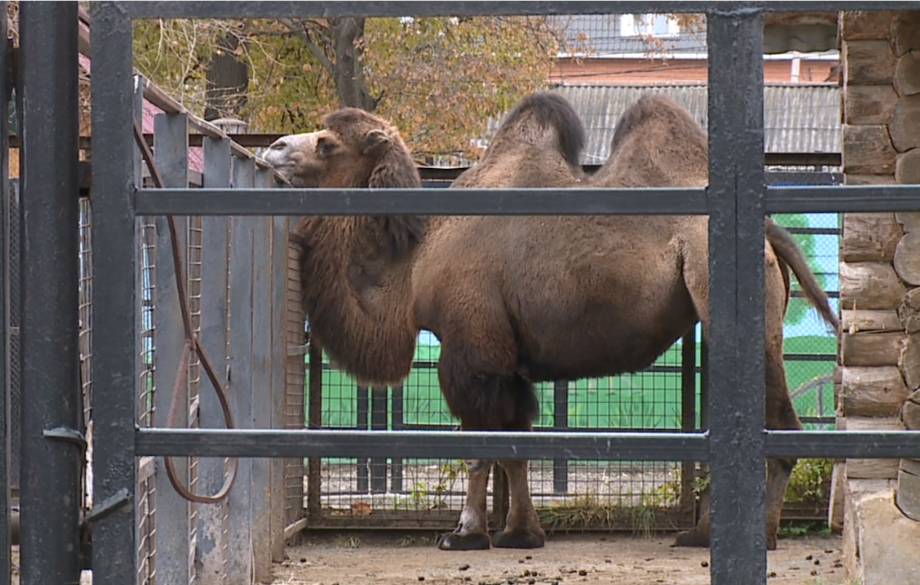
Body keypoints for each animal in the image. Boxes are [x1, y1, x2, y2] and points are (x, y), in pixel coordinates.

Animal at [263, 92, 838, 553]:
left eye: (327, 143)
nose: (273, 148)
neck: (416, 260)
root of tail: (770, 230)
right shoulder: (508, 360)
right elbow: (516, 446)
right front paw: (522, 533)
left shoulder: (472, 350)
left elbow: (479, 448)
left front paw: (464, 534)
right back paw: (701, 532)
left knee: (778, 425)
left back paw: (756, 534)